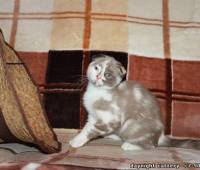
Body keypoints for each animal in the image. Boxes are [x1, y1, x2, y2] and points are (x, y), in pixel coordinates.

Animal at [69, 54, 200, 150]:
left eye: (107, 75)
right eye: (97, 68)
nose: (98, 77)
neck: (97, 92)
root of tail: (161, 135)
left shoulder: (111, 118)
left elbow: (91, 131)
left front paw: (76, 142)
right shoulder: (93, 116)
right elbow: (86, 128)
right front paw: (77, 138)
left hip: (132, 125)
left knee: (151, 145)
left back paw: (129, 145)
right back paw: (113, 136)